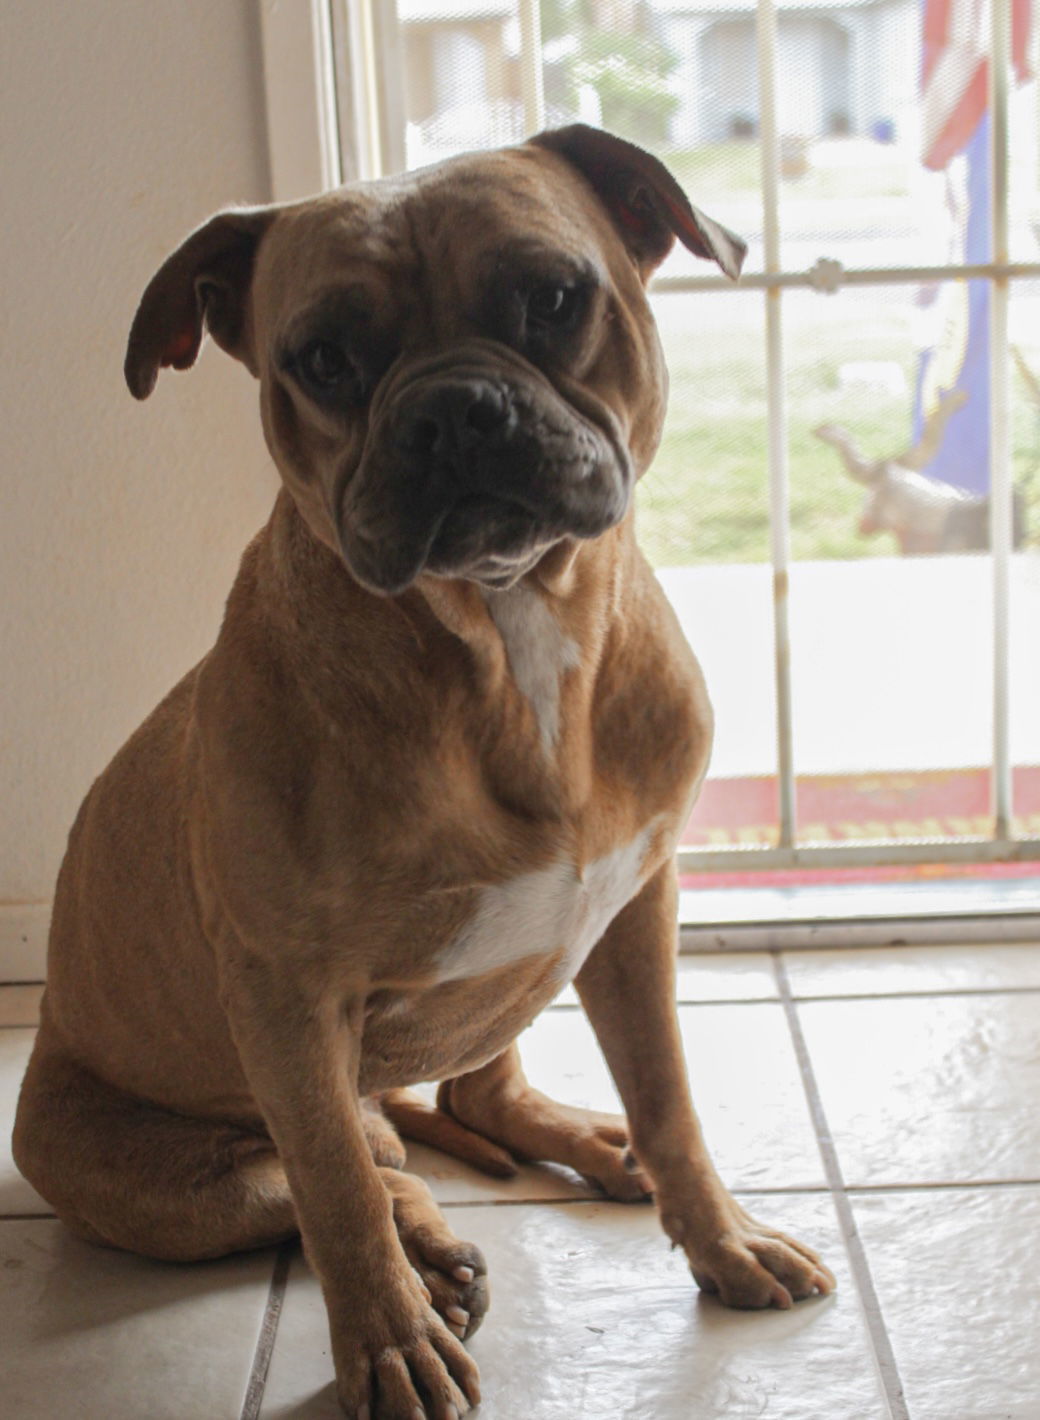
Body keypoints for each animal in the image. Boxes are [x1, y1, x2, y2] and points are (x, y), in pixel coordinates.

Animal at [12, 127, 835, 1414]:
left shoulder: (635, 913)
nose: (453, 409)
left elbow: (668, 1099)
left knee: (459, 1101)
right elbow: (335, 1193)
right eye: (322, 357)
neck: (508, 637)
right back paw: (432, 1255)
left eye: (552, 296)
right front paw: (388, 1343)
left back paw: (585, 1149)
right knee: (343, 1166)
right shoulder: (288, 999)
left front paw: (719, 1237)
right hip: (163, 1182)